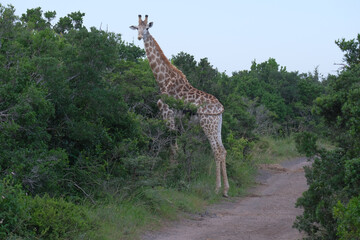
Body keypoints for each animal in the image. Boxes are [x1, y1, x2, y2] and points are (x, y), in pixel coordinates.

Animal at [131, 14, 229, 197]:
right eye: (137, 28)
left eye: (147, 28)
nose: (140, 37)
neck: (163, 81)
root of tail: (220, 107)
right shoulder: (177, 119)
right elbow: (176, 148)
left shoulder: (167, 114)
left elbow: (172, 148)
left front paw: (170, 178)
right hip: (217, 124)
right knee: (223, 150)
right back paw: (226, 189)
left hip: (207, 123)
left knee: (217, 151)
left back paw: (217, 188)